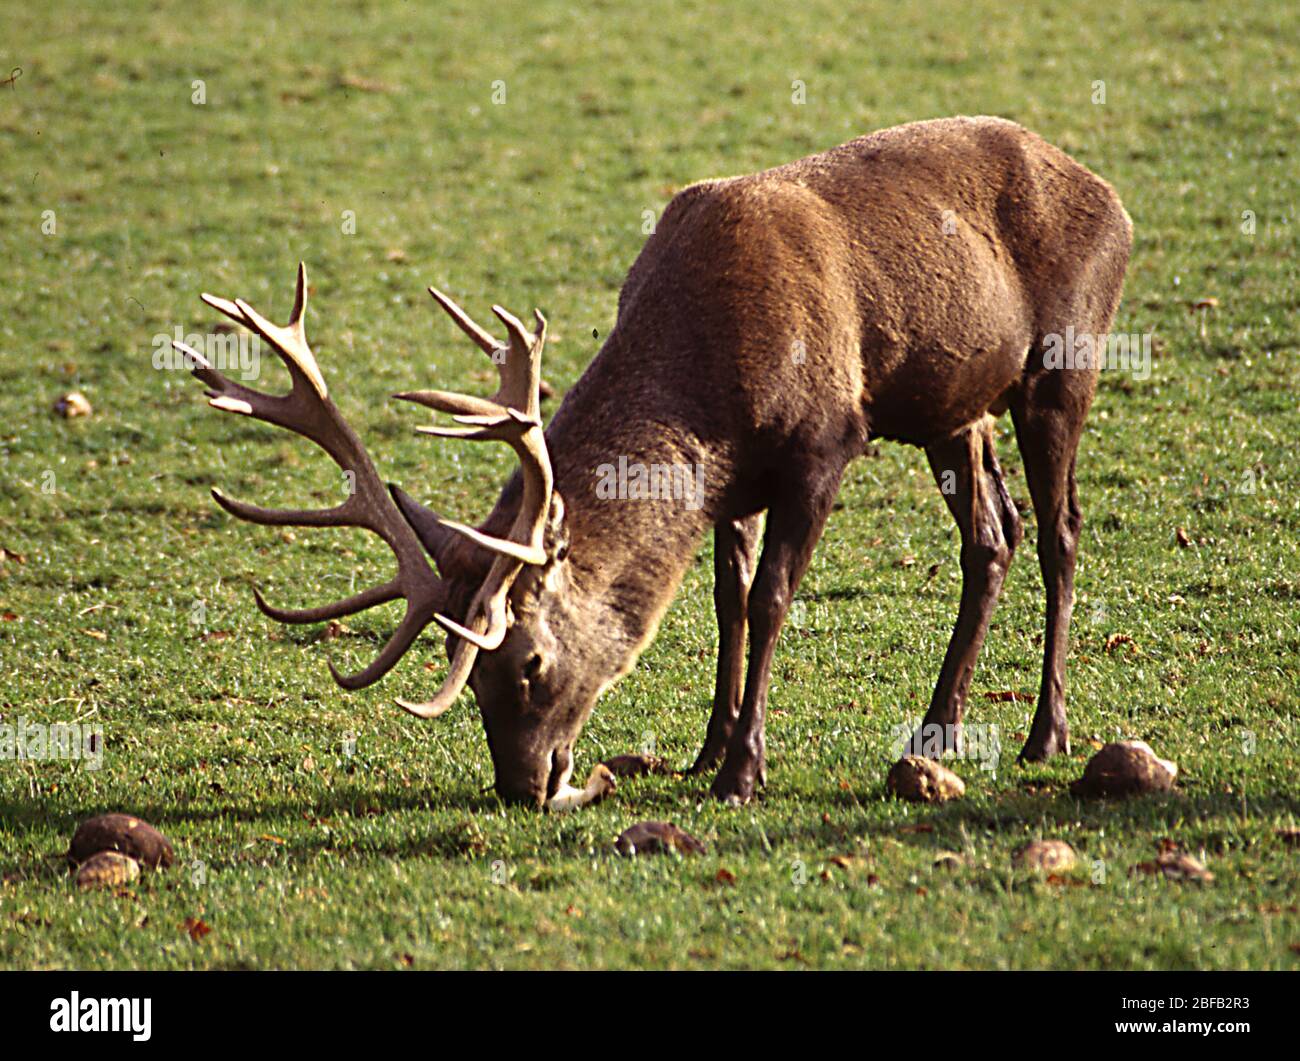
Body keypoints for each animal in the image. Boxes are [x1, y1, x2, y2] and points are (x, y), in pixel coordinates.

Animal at [178, 115, 1132, 808]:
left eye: (527, 662)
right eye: (467, 671)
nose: (523, 786)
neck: (705, 394)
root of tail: (1113, 197)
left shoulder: (824, 443)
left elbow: (771, 597)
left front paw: (742, 771)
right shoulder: (732, 484)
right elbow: (724, 600)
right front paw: (705, 747)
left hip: (1064, 366)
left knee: (1061, 531)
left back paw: (1046, 733)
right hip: (954, 407)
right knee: (993, 535)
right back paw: (939, 729)